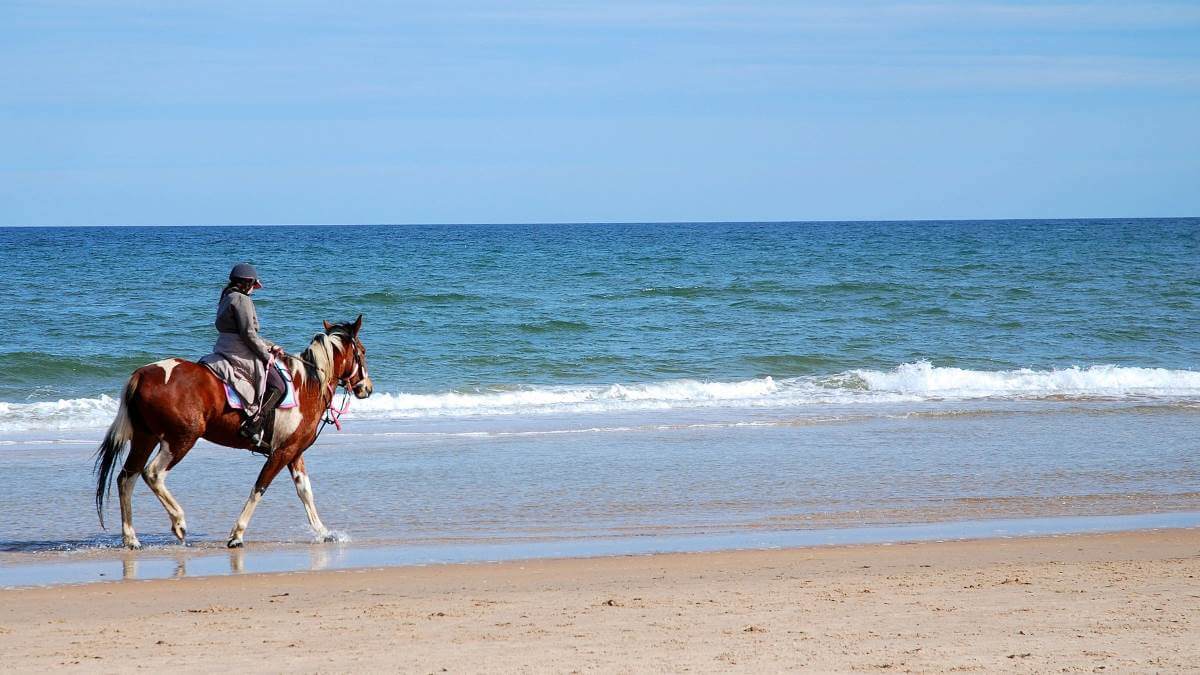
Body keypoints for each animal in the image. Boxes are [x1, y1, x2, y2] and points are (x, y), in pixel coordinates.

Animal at [94, 316, 373, 549]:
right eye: (362, 351)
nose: (367, 388)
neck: (307, 385)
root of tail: (142, 374)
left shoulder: (294, 452)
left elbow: (305, 491)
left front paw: (324, 532)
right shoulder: (282, 453)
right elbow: (259, 488)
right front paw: (237, 535)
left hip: (146, 438)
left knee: (126, 478)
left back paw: (131, 538)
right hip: (180, 439)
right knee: (152, 474)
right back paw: (179, 522)